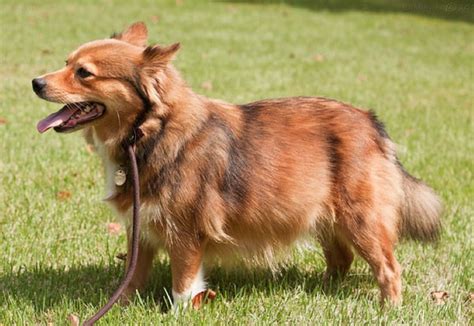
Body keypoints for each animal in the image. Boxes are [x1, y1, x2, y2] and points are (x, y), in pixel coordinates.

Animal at [32, 22, 440, 308]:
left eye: (84, 73)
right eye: (66, 63)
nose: (35, 82)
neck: (150, 132)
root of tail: (371, 122)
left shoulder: (185, 232)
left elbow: (183, 285)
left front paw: (179, 313)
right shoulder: (142, 226)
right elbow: (131, 279)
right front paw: (120, 307)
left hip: (362, 220)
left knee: (388, 268)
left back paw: (389, 308)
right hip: (323, 215)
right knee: (341, 258)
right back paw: (321, 291)